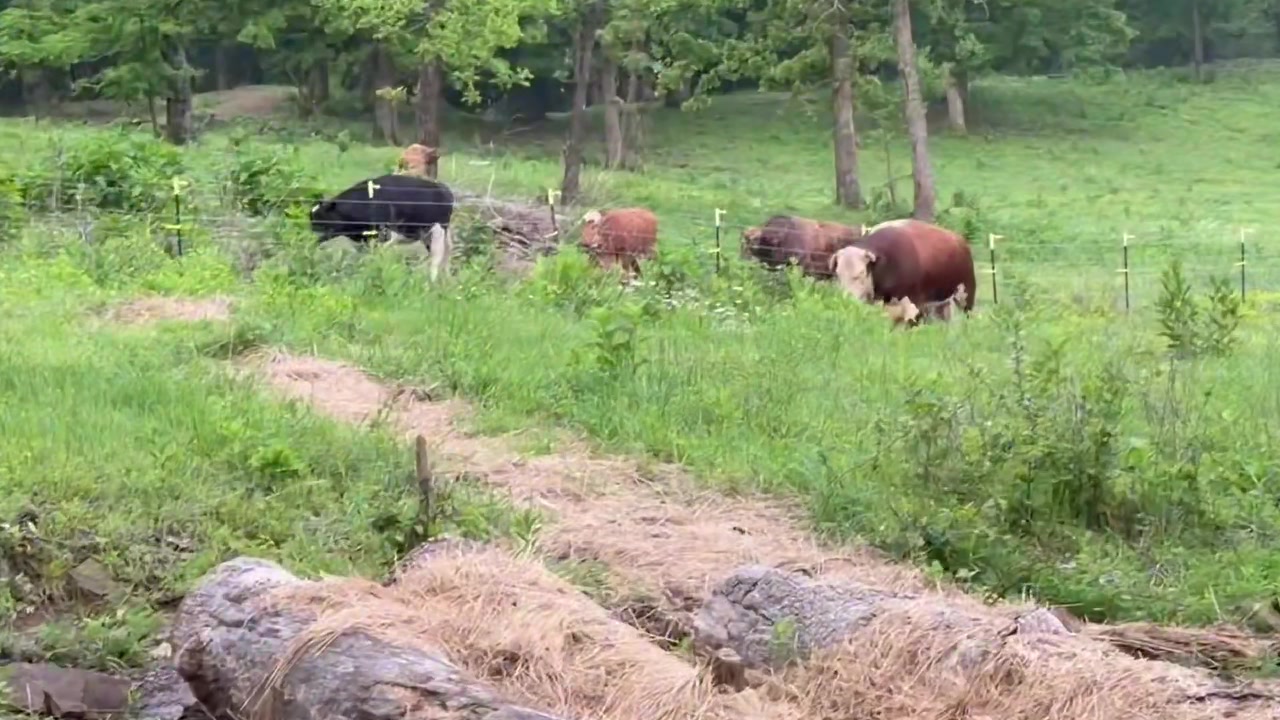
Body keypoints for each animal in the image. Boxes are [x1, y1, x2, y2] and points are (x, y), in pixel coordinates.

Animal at [310, 173, 455, 282]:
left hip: (438, 229)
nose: (311, 240)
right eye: (312, 220)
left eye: (322, 219)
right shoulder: (365, 240)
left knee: (437, 256)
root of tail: (444, 189)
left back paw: (431, 283)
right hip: (428, 234)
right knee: (445, 254)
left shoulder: (384, 236)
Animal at [829, 218, 977, 315]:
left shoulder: (914, 302)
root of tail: (960, 240)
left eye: (861, 273)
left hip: (965, 296)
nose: (847, 301)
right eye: (838, 274)